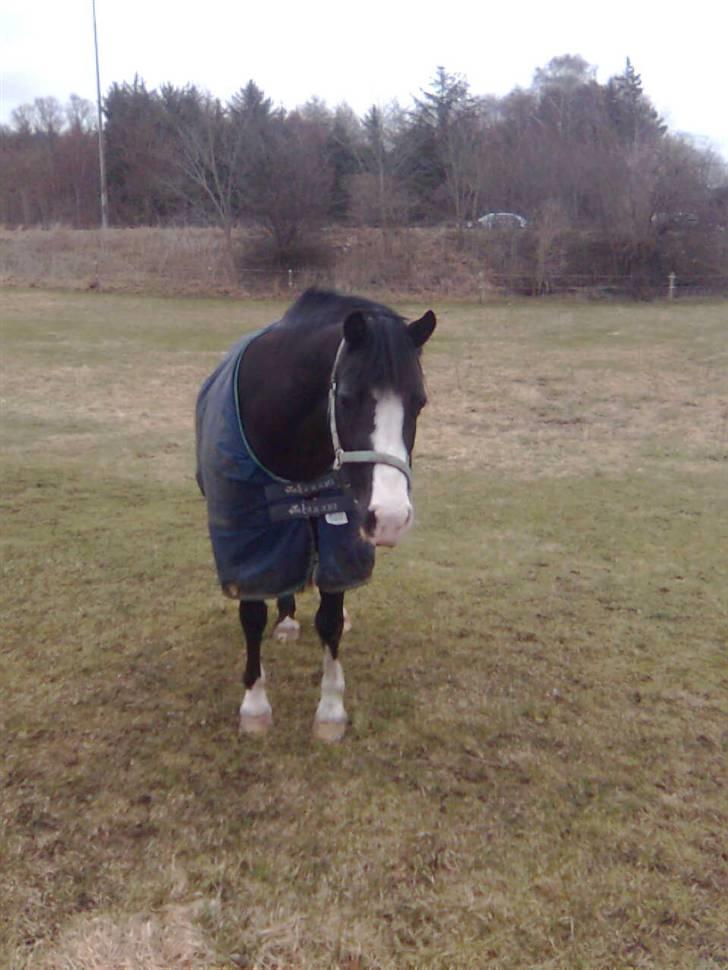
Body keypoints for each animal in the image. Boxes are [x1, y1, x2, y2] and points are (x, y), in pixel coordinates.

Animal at [195, 289, 436, 740]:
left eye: (420, 402)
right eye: (347, 399)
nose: (390, 518)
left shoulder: (337, 532)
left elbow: (329, 620)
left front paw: (330, 710)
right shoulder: (247, 540)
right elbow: (251, 614)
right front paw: (255, 706)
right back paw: (287, 620)